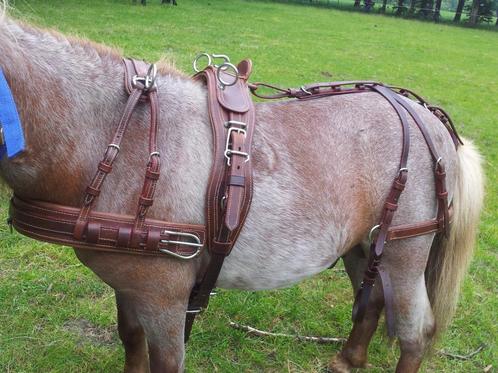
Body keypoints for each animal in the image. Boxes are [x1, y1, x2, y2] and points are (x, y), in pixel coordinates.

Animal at [0, 8, 482, 372]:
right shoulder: (129, 286)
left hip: (406, 249)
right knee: (372, 298)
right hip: (364, 244)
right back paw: (347, 360)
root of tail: (424, 115)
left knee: (415, 330)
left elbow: (162, 359)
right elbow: (130, 342)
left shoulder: (165, 299)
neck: (127, 137)